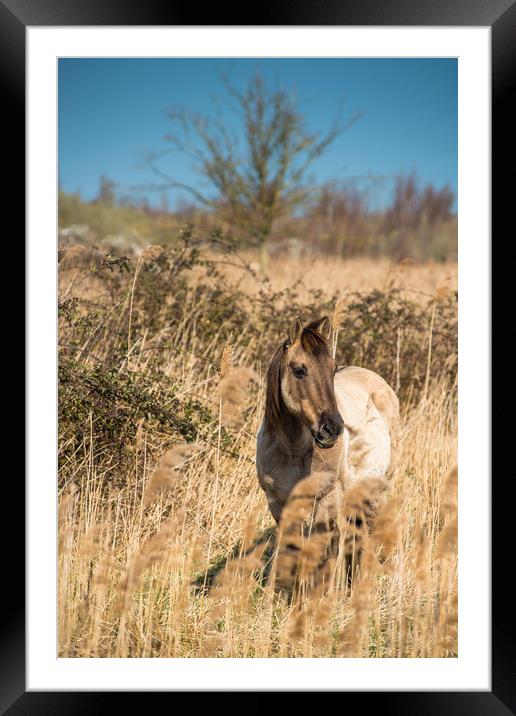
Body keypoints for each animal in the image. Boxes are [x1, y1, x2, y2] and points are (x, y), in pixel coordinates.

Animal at [255, 316, 400, 584]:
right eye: (299, 370)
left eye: (332, 369)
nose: (332, 429)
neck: (293, 450)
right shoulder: (279, 504)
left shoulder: (326, 501)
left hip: (375, 493)